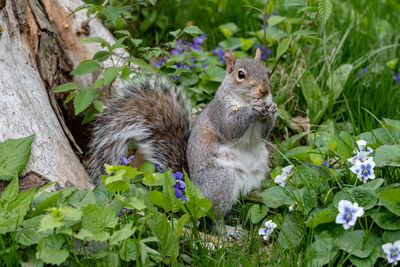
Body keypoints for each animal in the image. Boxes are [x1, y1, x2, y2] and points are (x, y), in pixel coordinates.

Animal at [87, 48, 276, 218]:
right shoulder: (219, 113)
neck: (243, 100)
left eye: (268, 71)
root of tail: (192, 191)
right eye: (241, 74)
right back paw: (226, 230)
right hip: (221, 180)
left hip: (257, 176)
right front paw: (252, 109)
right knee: (213, 214)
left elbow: (263, 133)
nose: (265, 91)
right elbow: (231, 127)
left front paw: (273, 108)